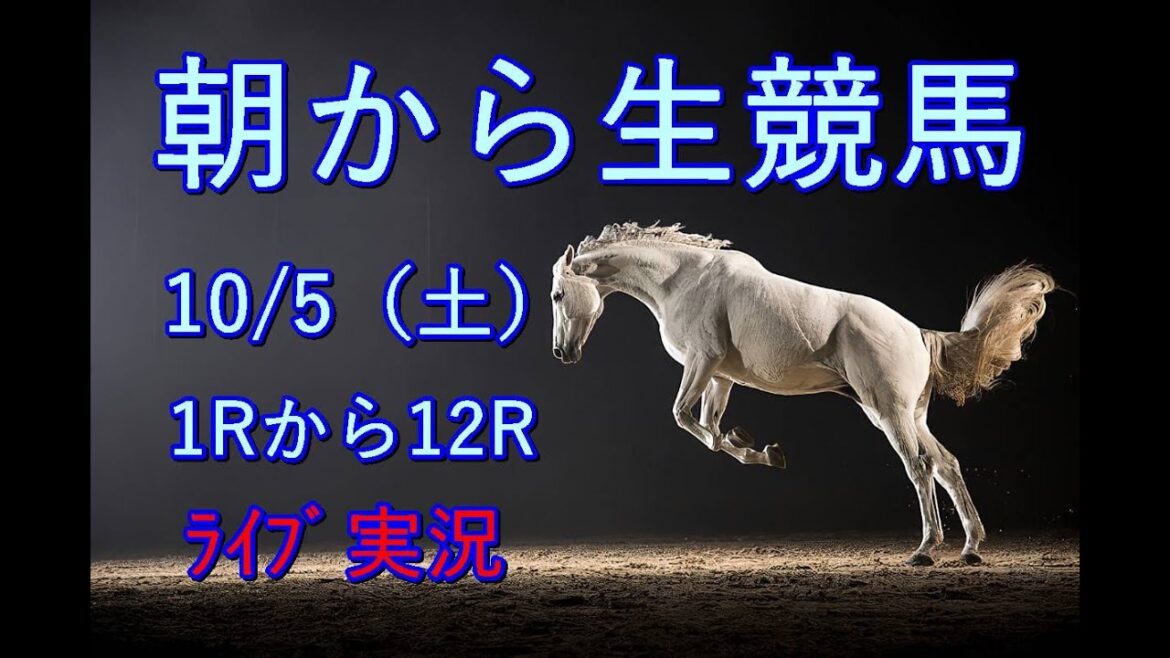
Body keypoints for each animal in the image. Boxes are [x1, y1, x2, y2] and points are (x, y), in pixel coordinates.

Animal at [549, 222, 1056, 566]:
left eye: (557, 295)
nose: (561, 352)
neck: (684, 279)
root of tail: (917, 332)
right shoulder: (720, 376)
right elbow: (709, 429)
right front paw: (761, 449)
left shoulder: (702, 362)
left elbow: (683, 417)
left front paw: (755, 447)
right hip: (905, 415)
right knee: (947, 464)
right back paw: (970, 547)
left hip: (890, 412)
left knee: (920, 466)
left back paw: (925, 550)